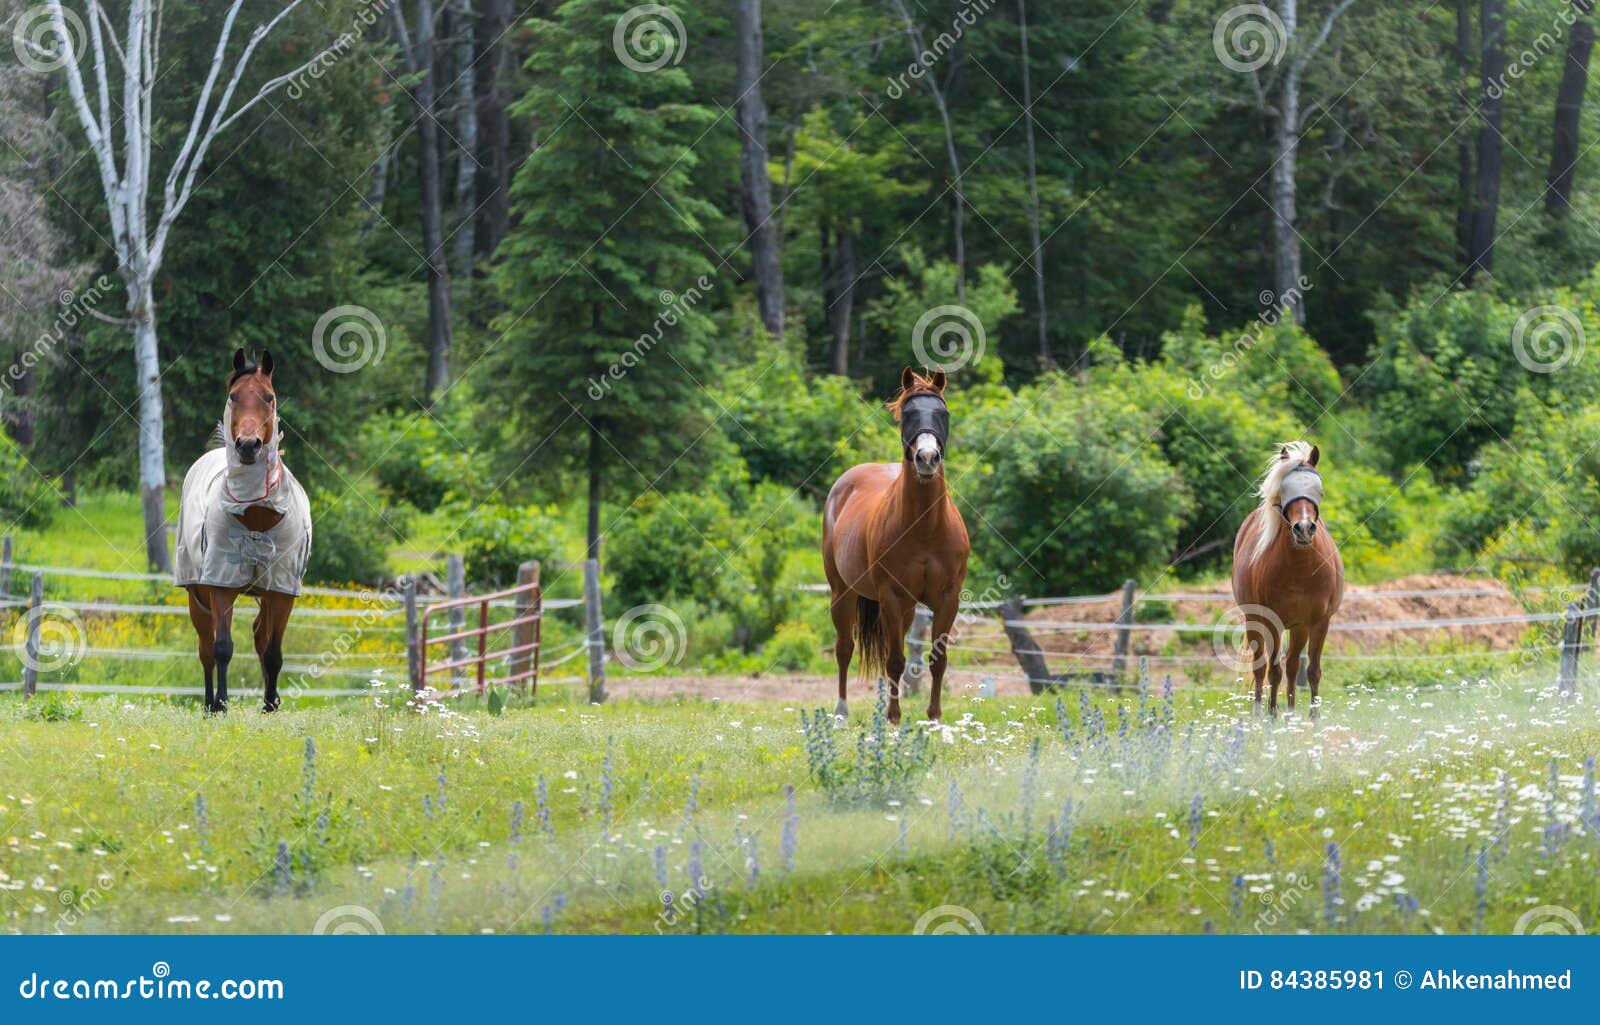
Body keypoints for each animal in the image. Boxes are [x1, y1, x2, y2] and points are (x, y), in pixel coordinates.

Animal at [175, 350, 312, 709]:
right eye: (234, 396)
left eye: (270, 397)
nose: (248, 446)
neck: (256, 515)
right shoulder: (220, 583)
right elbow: (222, 648)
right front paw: (220, 705)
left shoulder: (281, 589)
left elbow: (273, 652)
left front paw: (270, 706)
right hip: (197, 594)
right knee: (206, 649)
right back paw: (209, 705)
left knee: (260, 636)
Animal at [825, 364, 960, 722]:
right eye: (909, 414)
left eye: (943, 413)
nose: (927, 458)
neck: (925, 527)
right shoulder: (890, 597)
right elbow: (895, 660)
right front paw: (894, 719)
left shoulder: (948, 599)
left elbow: (937, 660)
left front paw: (934, 718)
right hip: (842, 593)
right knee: (845, 649)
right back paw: (841, 712)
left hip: (909, 608)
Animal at [1228, 444, 1344, 716]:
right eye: (1284, 490)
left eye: (1319, 491)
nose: (1304, 528)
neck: (1299, 568)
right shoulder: (1272, 622)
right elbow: (1273, 671)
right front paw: (1271, 717)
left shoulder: (1318, 622)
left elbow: (1311, 671)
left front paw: (1312, 719)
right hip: (1254, 620)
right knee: (1262, 668)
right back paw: (1260, 715)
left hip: (1298, 627)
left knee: (1292, 665)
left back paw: (1290, 716)